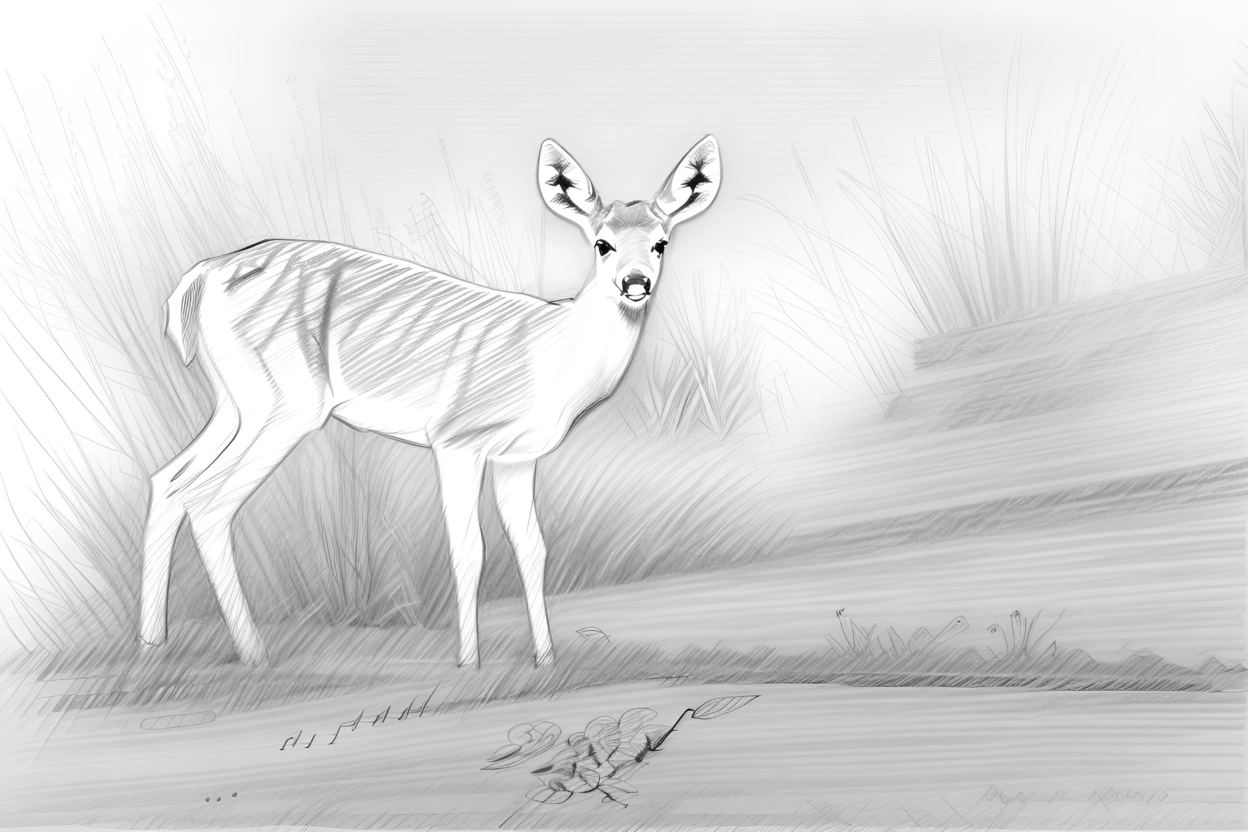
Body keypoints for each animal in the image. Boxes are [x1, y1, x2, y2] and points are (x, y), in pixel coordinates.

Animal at [138, 135, 722, 669]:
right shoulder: (456, 438)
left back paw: (152, 644)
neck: (552, 356)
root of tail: (197, 280)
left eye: (661, 243)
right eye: (601, 243)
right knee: (209, 499)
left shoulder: (518, 457)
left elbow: (531, 548)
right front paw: (469, 664)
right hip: (286, 403)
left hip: (235, 401)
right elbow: (469, 549)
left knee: (170, 480)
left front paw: (546, 660)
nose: (635, 283)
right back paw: (254, 655)